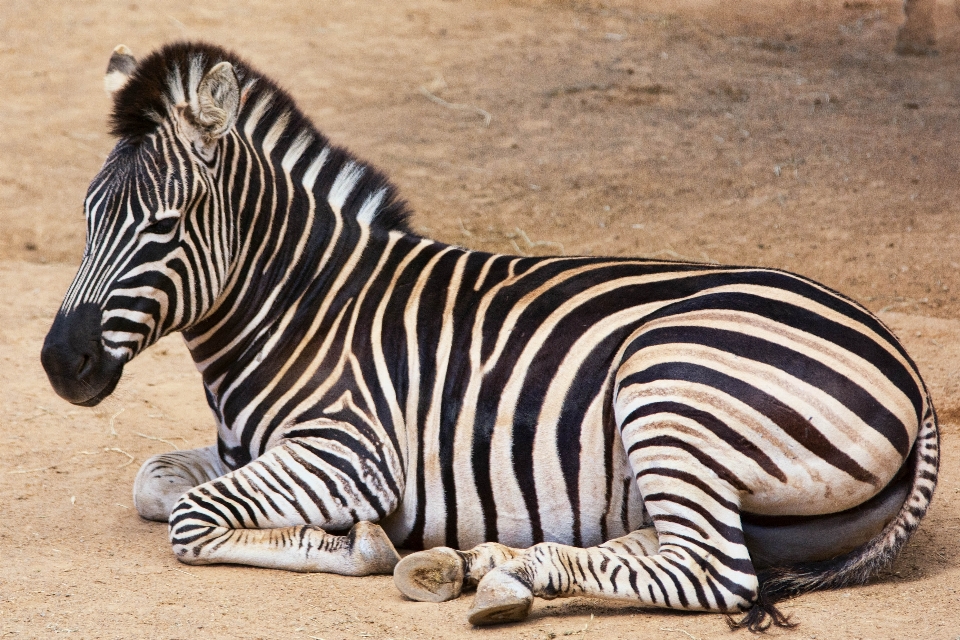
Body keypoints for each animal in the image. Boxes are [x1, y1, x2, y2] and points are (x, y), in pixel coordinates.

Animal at [43, 42, 936, 632]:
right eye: (85, 218)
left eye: (162, 227)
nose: (60, 364)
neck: (301, 308)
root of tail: (915, 375)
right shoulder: (244, 449)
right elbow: (154, 483)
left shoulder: (349, 455)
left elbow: (192, 519)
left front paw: (361, 543)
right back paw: (491, 565)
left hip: (668, 384)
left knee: (714, 571)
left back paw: (505, 569)